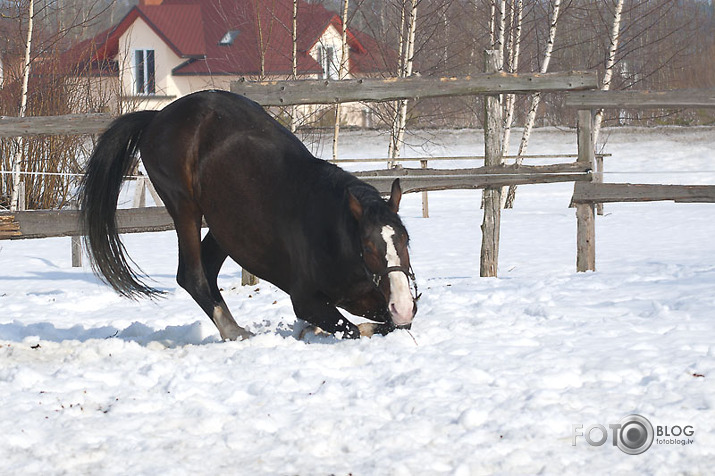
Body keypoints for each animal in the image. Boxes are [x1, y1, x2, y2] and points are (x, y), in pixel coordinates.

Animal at [79, 90, 416, 338]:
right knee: (192, 275)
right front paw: (312, 331)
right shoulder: (306, 300)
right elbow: (352, 330)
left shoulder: (370, 299)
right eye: (369, 247)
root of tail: (157, 116)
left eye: (405, 241)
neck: (331, 234)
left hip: (225, 224)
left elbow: (391, 325)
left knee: (205, 269)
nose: (402, 304)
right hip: (184, 207)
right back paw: (235, 332)